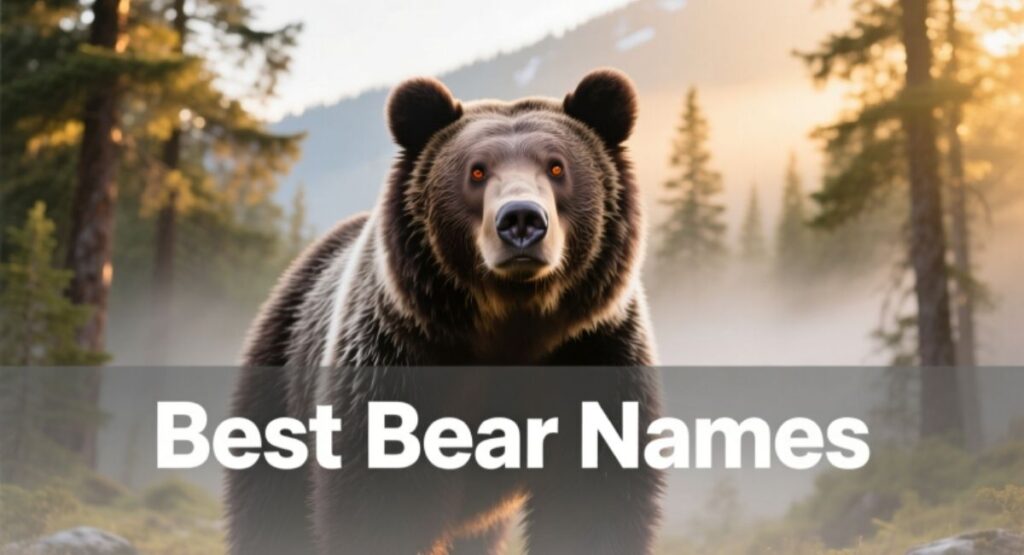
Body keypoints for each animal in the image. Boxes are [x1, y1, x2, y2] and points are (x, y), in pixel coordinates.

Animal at [227, 68, 663, 555]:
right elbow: (379, 497)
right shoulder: (400, 359)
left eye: (556, 166)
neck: (512, 321)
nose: (522, 220)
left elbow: (596, 496)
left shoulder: (592, 351)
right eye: (477, 170)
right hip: (280, 382)